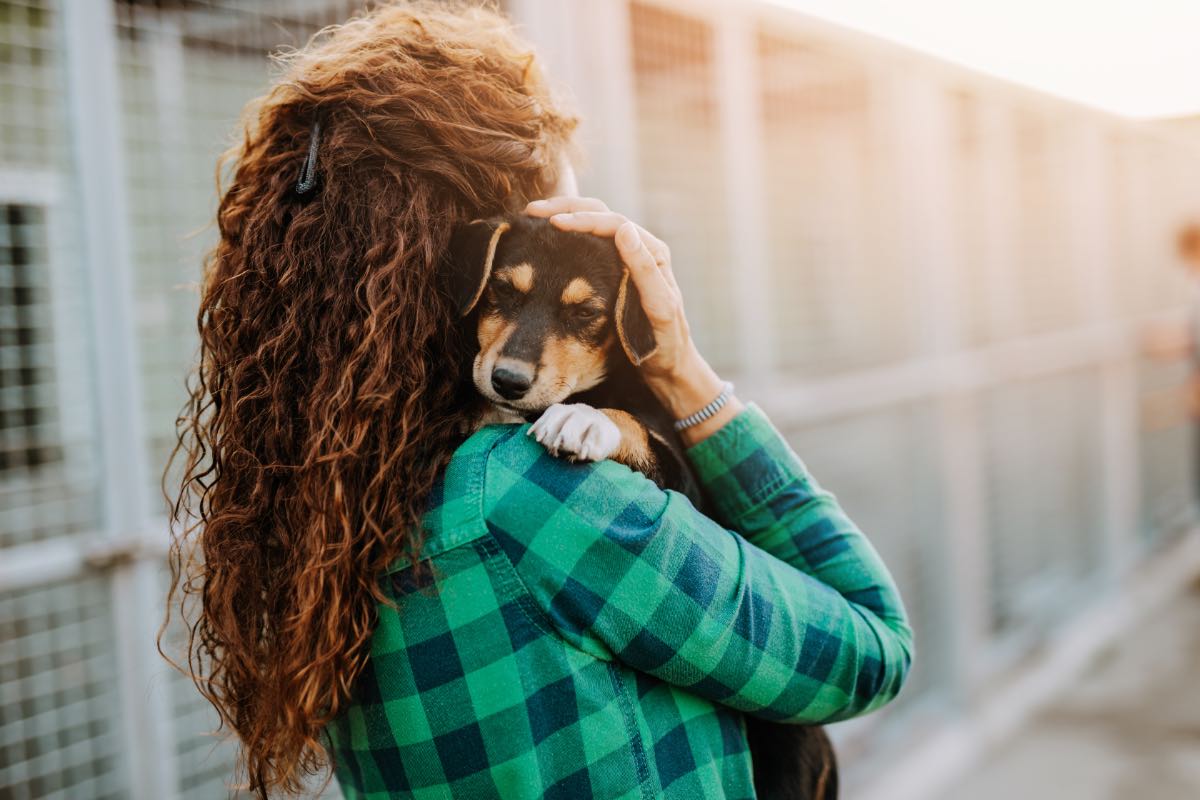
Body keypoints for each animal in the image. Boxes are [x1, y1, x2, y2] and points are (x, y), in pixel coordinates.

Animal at [446, 212, 840, 800]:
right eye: (502, 290)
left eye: (585, 313)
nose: (508, 381)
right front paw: (481, 412)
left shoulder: (683, 482)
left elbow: (630, 425)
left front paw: (584, 419)